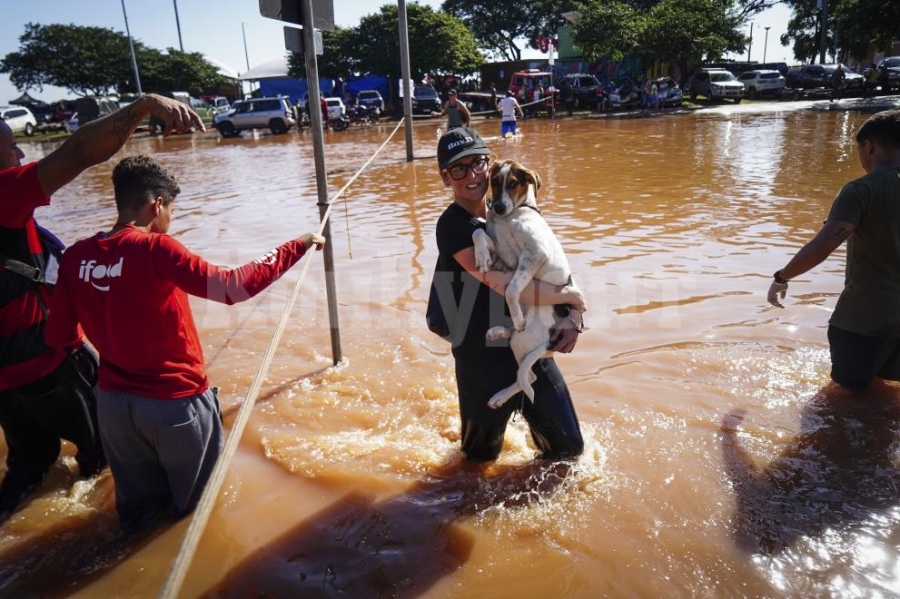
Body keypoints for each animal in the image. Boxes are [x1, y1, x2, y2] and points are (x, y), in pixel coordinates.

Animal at [472, 159, 576, 410]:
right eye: (494, 181)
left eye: (513, 184)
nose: (498, 207)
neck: (512, 215)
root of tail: (549, 342)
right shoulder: (502, 251)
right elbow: (477, 232)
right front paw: (481, 256)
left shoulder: (535, 255)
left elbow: (511, 289)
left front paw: (518, 318)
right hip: (520, 342)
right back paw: (498, 331)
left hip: (524, 339)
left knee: (528, 377)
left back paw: (500, 396)